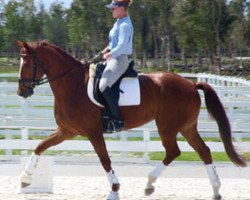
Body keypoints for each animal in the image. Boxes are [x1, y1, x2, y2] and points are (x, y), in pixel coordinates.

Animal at [17, 41, 246, 200]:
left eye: (27, 63)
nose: (21, 92)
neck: (74, 85)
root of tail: (190, 84)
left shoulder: (93, 132)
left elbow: (105, 160)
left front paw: (114, 190)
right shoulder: (67, 131)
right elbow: (39, 146)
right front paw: (25, 179)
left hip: (167, 126)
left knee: (174, 151)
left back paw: (149, 184)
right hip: (187, 127)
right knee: (203, 151)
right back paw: (215, 190)